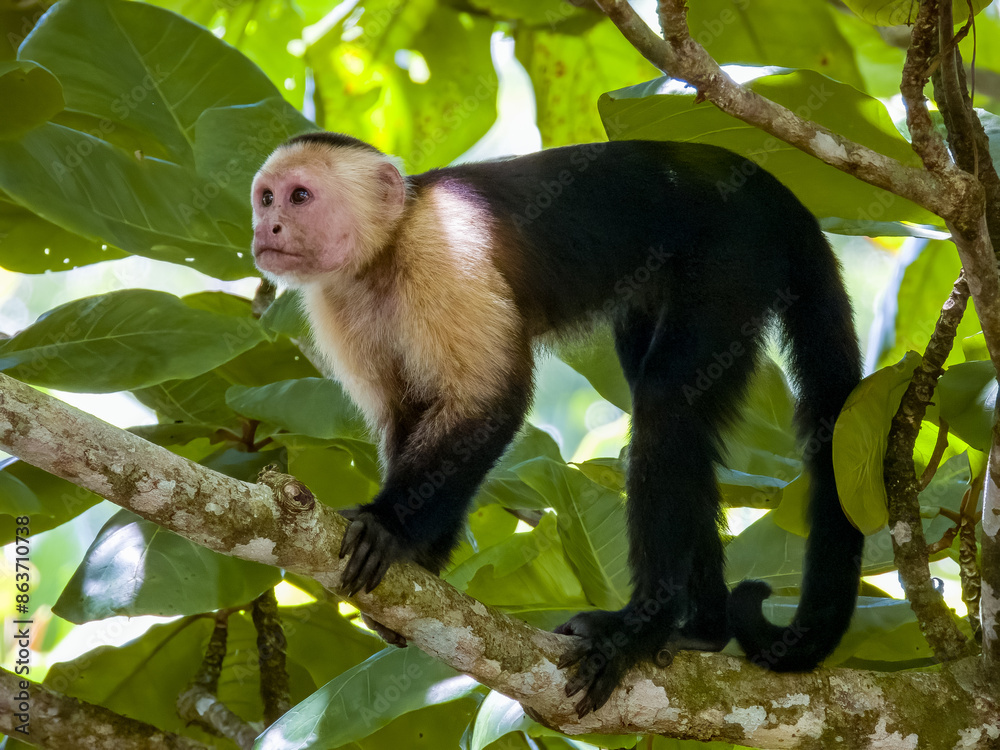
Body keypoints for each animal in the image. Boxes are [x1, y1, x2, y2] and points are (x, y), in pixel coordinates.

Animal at [250, 131, 865, 717]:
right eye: (266, 198)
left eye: (300, 197)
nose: (267, 226)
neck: (384, 250)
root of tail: (768, 185)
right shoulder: (337, 301)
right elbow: (409, 417)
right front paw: (420, 561)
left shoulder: (444, 253)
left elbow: (487, 402)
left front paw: (387, 526)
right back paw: (704, 630)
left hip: (734, 251)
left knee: (667, 402)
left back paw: (639, 629)